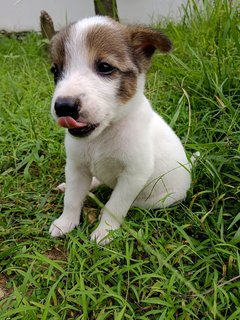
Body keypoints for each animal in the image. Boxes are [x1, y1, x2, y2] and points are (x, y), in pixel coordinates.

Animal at [48, 16, 191, 244]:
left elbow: (115, 206)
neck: (103, 134)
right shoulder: (76, 166)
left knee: (135, 204)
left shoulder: (134, 175)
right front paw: (65, 222)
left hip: (162, 199)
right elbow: (71, 199)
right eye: (56, 71)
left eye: (105, 67)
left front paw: (105, 231)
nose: (64, 107)